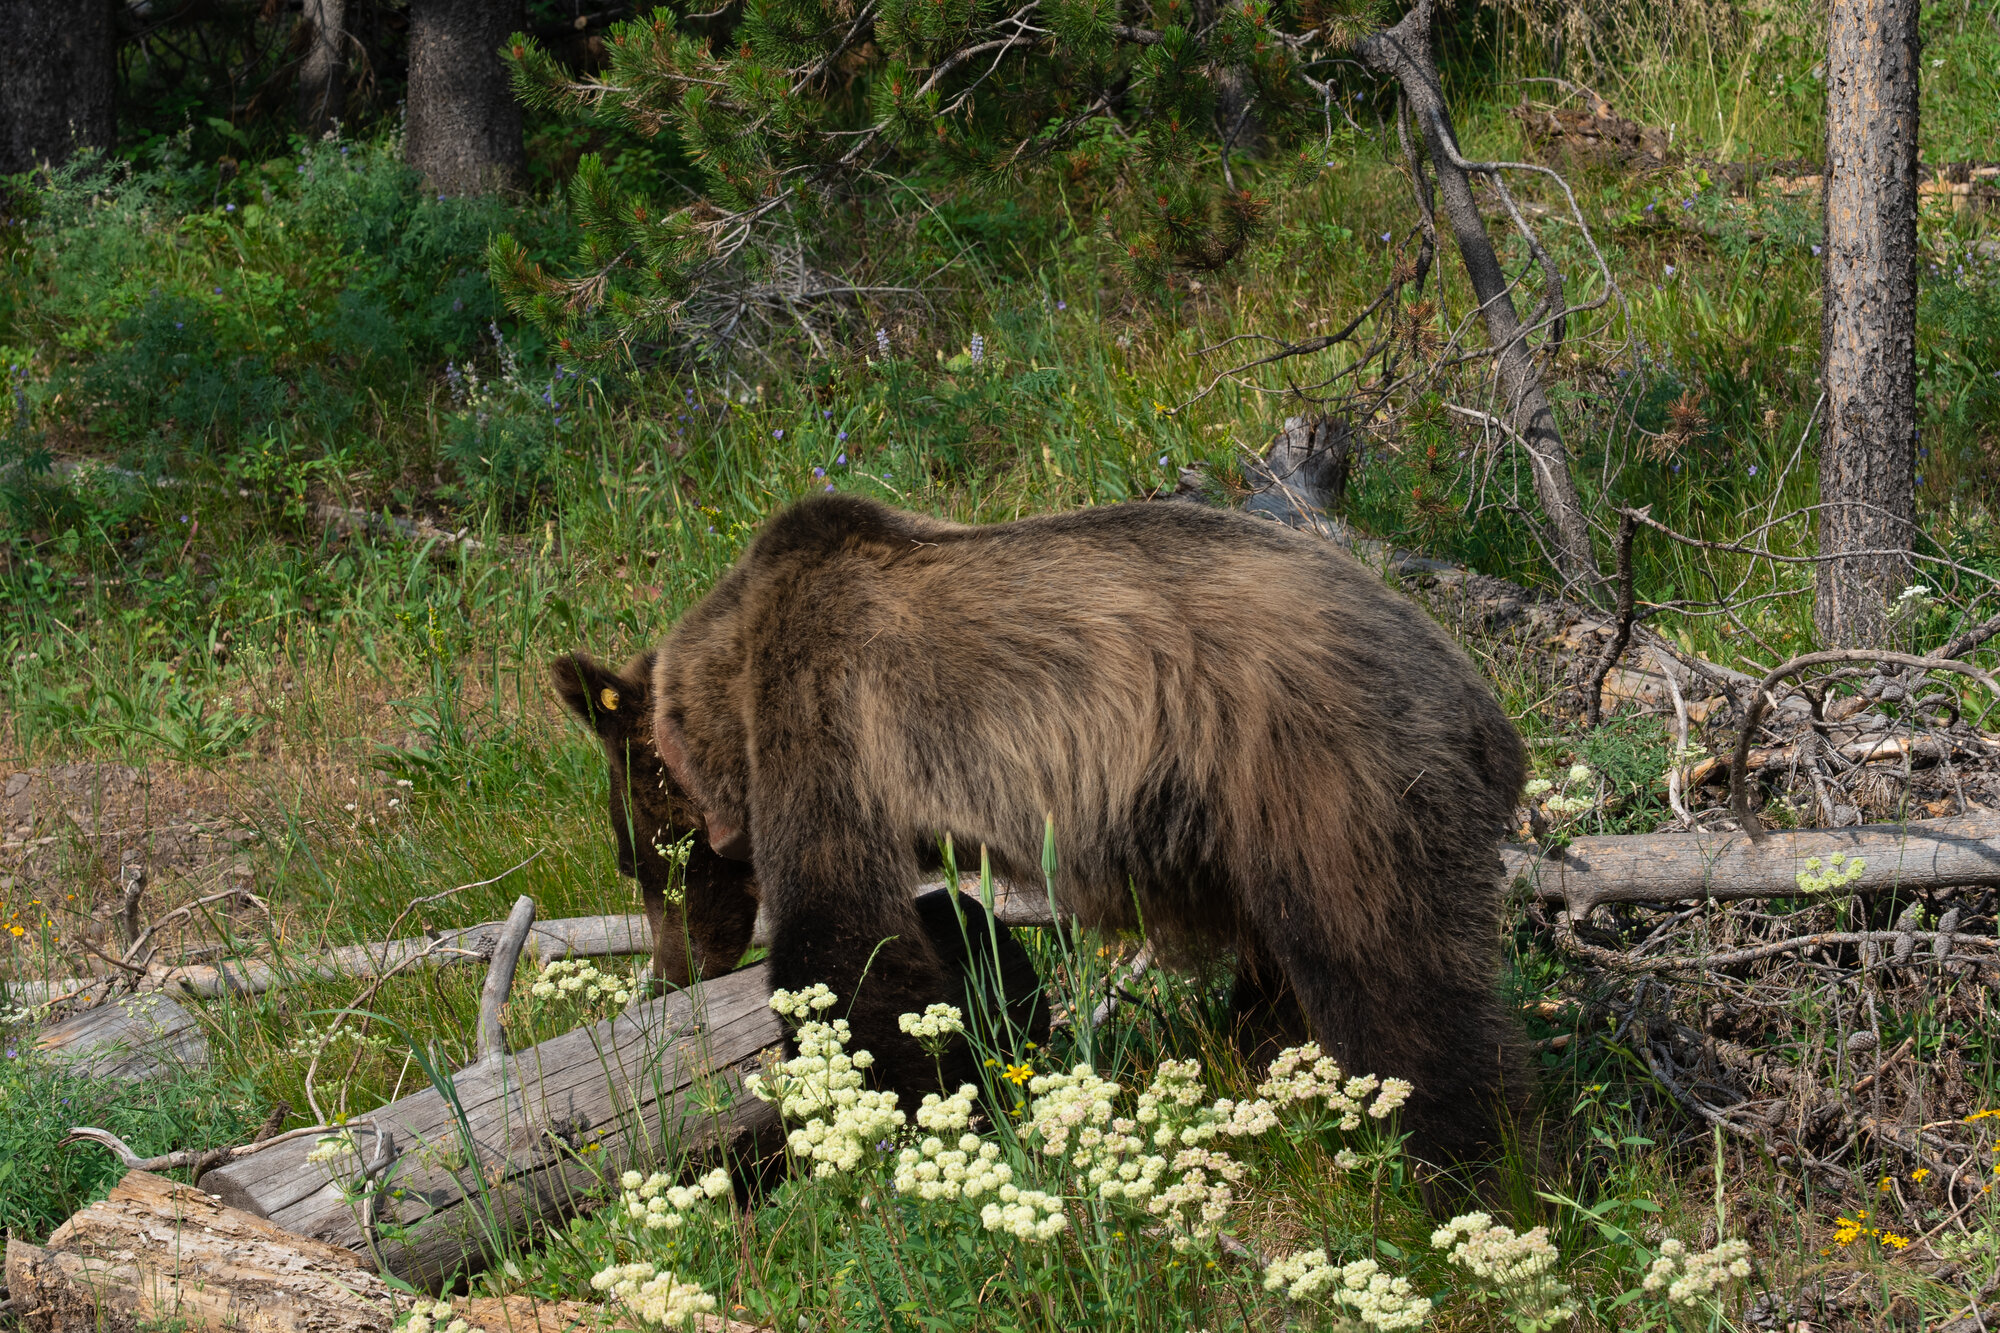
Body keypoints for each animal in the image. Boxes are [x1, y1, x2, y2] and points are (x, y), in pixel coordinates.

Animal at [646, 493, 1530, 1163]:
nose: (679, 962)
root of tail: (1485, 713)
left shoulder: (829, 701)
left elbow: (844, 937)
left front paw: (891, 1102)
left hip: (1329, 774)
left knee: (1392, 982)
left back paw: (1469, 1166)